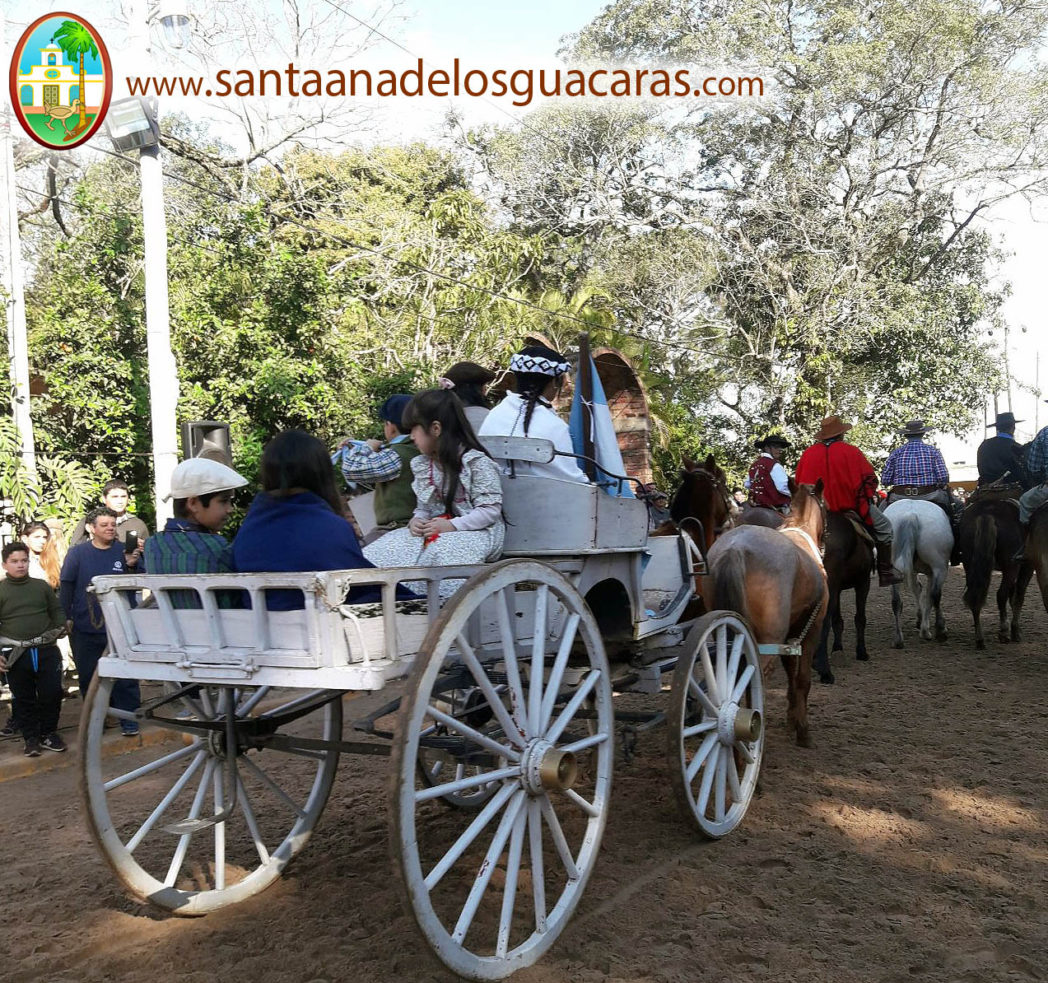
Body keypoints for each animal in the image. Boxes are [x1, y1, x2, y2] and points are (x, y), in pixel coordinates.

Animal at [704, 479, 825, 741]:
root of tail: (734, 549)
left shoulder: (790, 634)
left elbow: (791, 672)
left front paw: (792, 717)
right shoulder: (812, 628)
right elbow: (802, 679)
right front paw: (802, 729)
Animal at [884, 500, 951, 645]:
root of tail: (911, 516)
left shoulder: (915, 571)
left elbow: (917, 589)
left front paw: (921, 621)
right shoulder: (932, 572)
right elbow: (929, 595)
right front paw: (926, 629)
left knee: (896, 601)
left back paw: (898, 639)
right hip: (940, 567)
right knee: (935, 595)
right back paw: (939, 631)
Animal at [959, 494, 1027, 645]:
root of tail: (987, 513)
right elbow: (1017, 596)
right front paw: (1015, 631)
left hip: (969, 565)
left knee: (975, 595)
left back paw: (980, 638)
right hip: (1011, 567)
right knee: (1001, 594)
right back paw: (1004, 632)